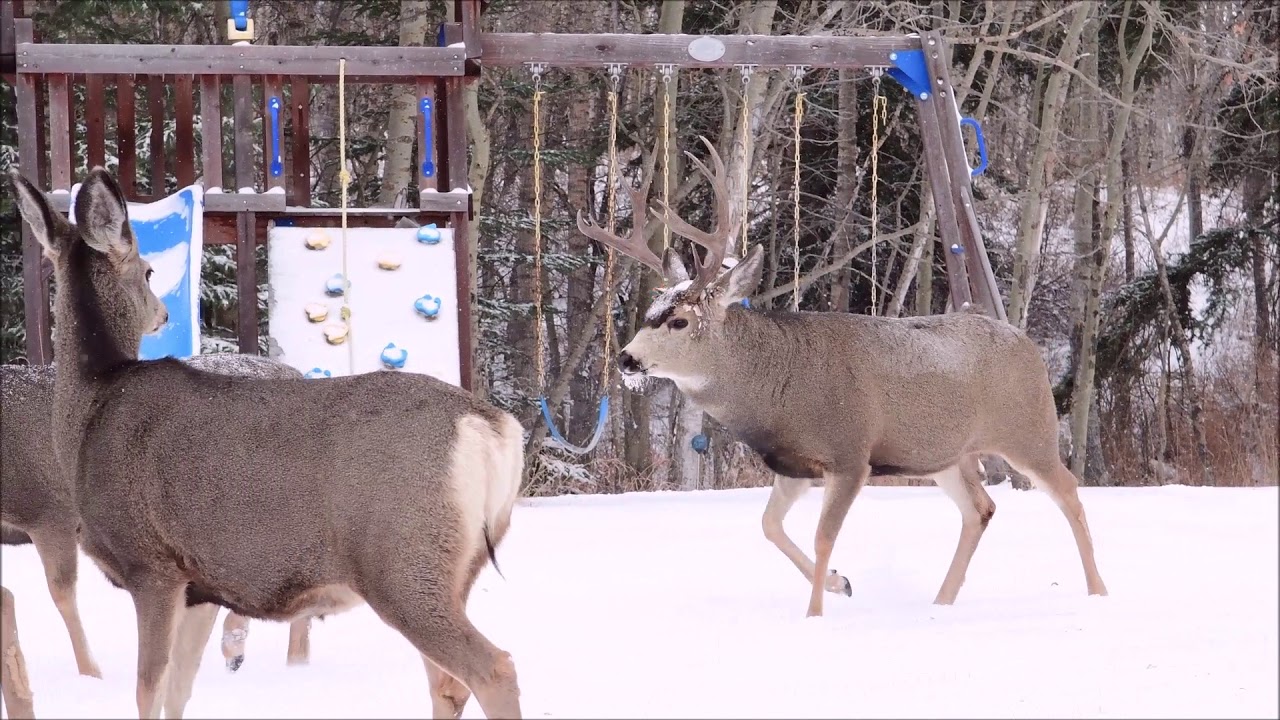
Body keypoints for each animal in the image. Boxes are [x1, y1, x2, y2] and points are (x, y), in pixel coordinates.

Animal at [575, 136, 1109, 619]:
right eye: (651, 312)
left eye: (679, 321)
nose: (626, 359)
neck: (776, 388)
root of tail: (1027, 343)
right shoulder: (793, 465)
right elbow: (769, 526)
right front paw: (841, 583)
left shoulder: (850, 452)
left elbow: (823, 535)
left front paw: (815, 615)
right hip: (945, 454)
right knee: (980, 508)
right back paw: (941, 602)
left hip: (1028, 430)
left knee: (1068, 491)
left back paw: (1097, 592)